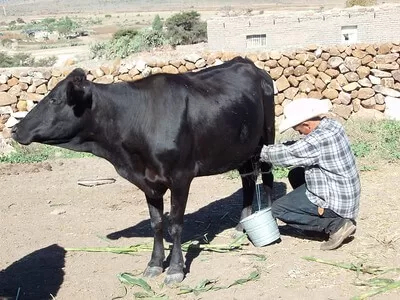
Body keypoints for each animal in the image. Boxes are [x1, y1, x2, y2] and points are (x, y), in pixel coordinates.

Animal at [12, 57, 276, 284]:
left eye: (54, 100)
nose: (15, 129)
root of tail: (248, 63)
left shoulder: (181, 177)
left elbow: (175, 224)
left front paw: (175, 269)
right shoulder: (148, 182)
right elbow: (156, 223)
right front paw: (154, 264)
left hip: (267, 137)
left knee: (267, 176)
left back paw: (269, 216)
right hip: (241, 148)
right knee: (247, 180)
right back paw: (241, 227)